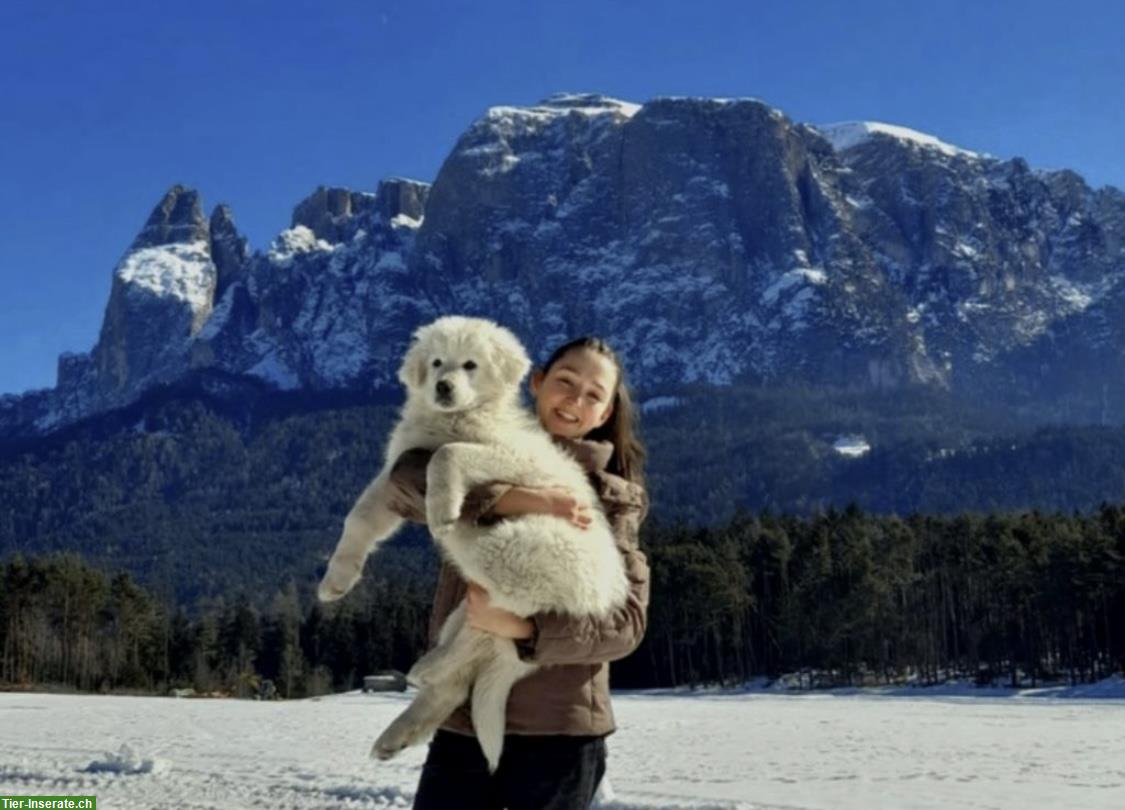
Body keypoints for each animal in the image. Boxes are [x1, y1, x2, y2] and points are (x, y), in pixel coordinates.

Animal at [321, 312, 630, 769]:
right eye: (436, 362)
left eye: (470, 365)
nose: (443, 387)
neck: (454, 419)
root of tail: (601, 596)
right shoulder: (398, 470)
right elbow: (357, 518)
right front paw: (335, 582)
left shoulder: (506, 455)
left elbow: (449, 453)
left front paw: (442, 508)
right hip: (476, 598)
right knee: (465, 664)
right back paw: (398, 730)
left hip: (513, 552)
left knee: (488, 630)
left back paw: (426, 671)